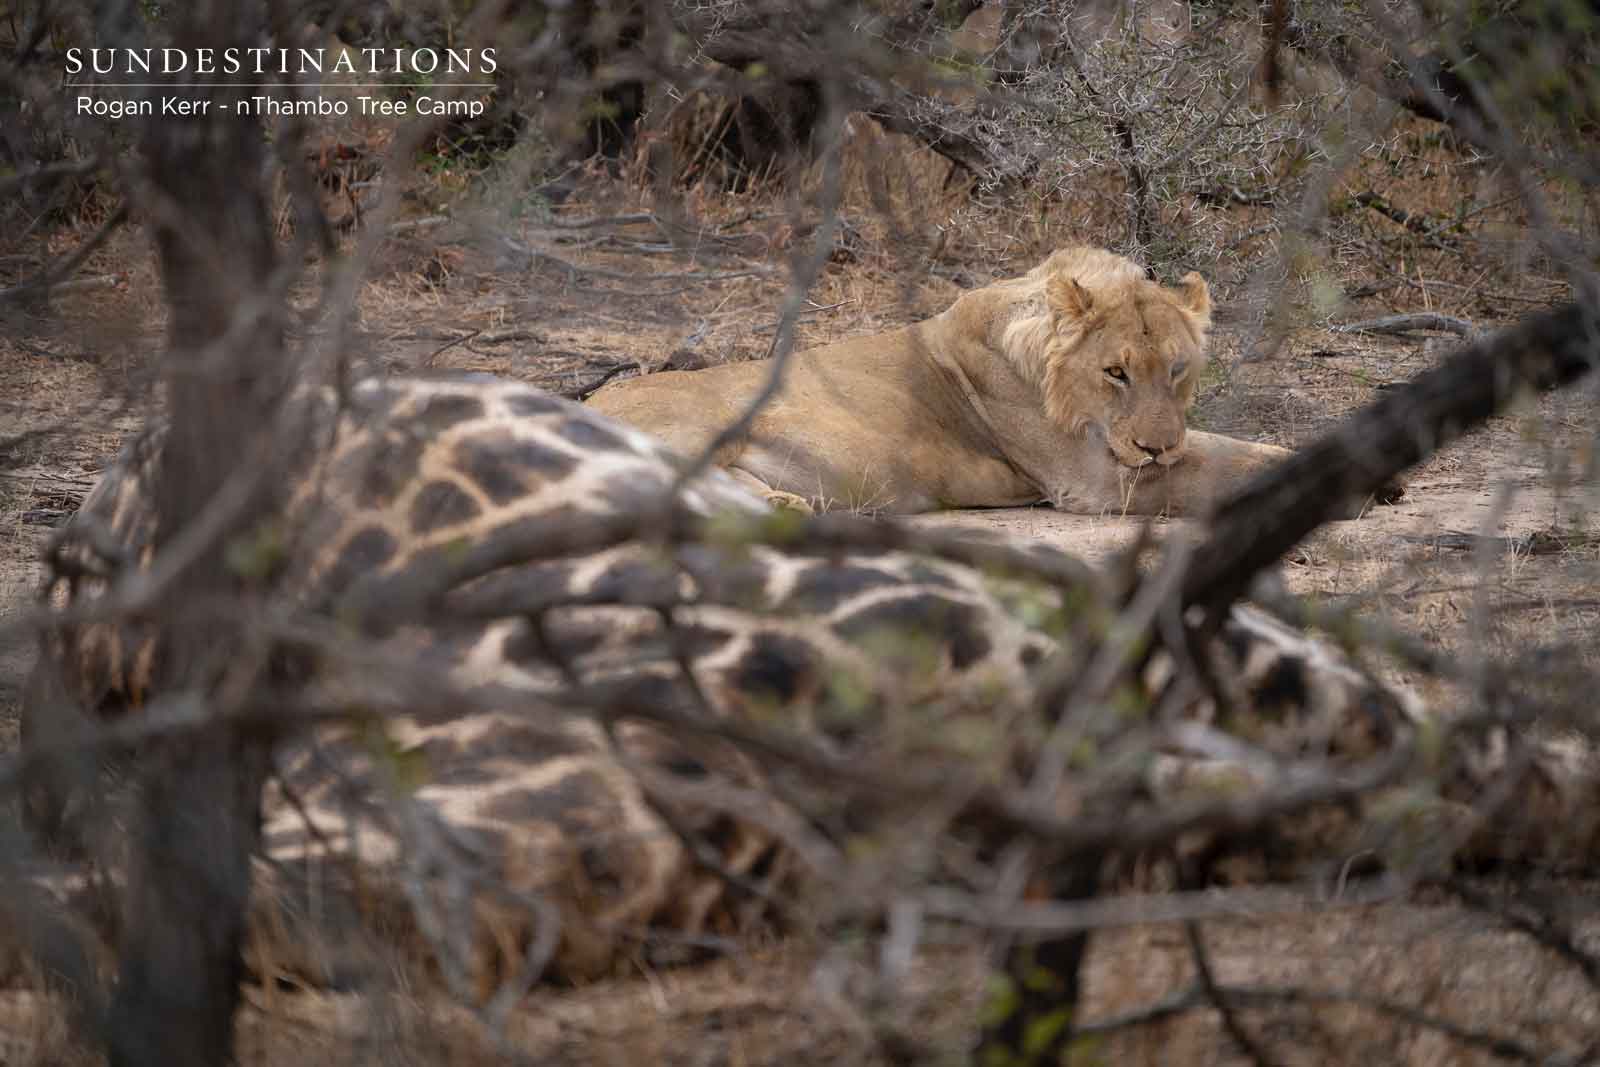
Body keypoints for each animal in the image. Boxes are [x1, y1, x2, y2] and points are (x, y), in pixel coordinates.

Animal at [590, 246, 1381, 517]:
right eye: (1115, 372)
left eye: (1178, 369)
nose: (1154, 445)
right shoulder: (1094, 482)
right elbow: (1214, 473)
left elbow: (1226, 447)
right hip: (694, 425)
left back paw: (785, 505)